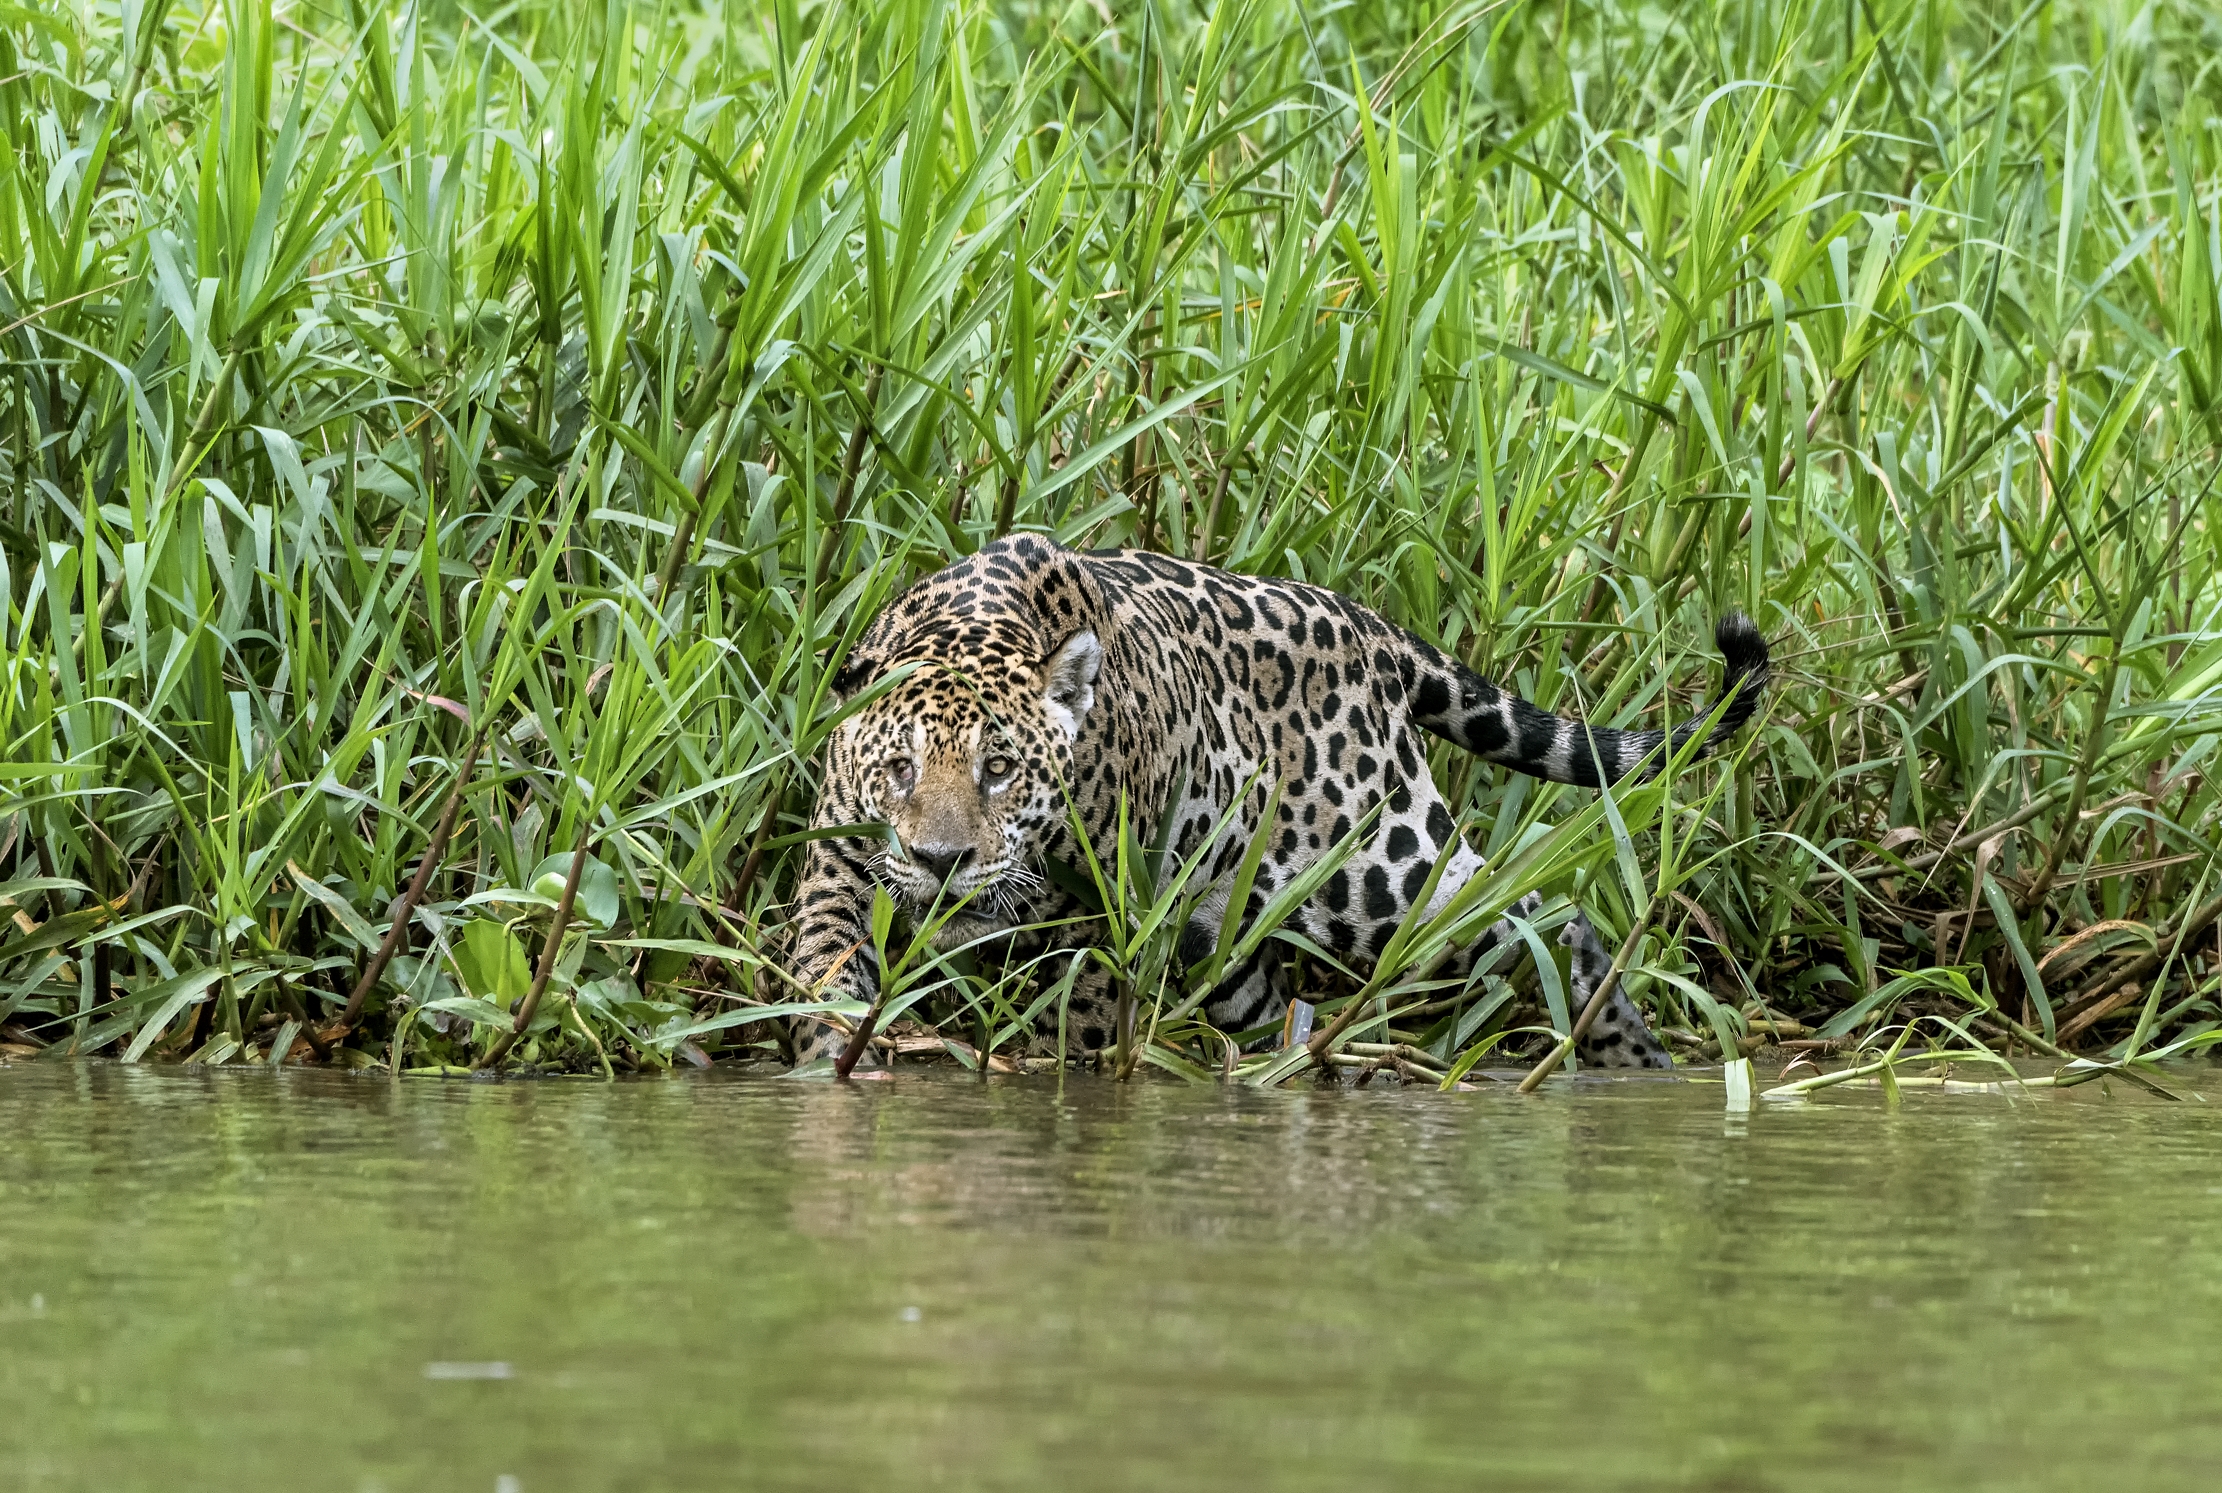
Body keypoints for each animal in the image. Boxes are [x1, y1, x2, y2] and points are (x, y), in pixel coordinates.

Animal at [767, 534, 1768, 1074]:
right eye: (899, 768)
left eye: (1001, 769)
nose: (943, 862)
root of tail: (1373, 629)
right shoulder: (839, 867)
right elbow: (825, 965)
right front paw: (832, 1065)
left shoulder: (1096, 916)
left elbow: (1081, 1023)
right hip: (1224, 934)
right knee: (1279, 996)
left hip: (1389, 873)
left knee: (1533, 908)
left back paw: (1627, 1047)